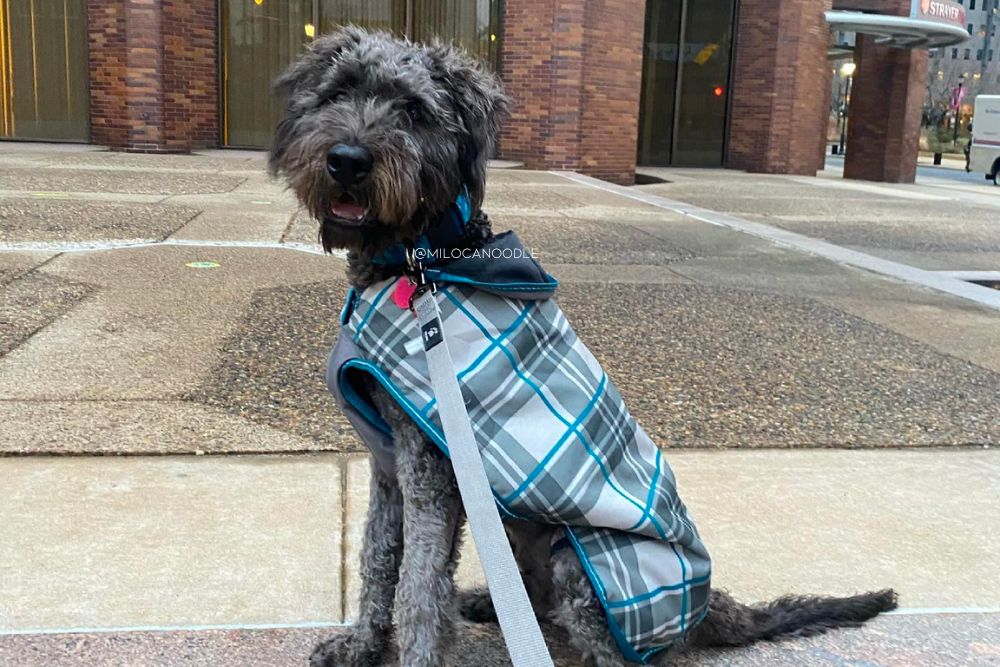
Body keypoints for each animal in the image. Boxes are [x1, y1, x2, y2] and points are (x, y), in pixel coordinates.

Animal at [268, 27, 900, 667]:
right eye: (340, 91)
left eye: (415, 112)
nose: (348, 161)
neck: (421, 261)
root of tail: (708, 609)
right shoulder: (390, 464)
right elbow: (378, 560)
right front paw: (360, 645)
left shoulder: (431, 471)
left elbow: (419, 589)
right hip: (519, 530)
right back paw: (491, 603)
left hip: (582, 563)